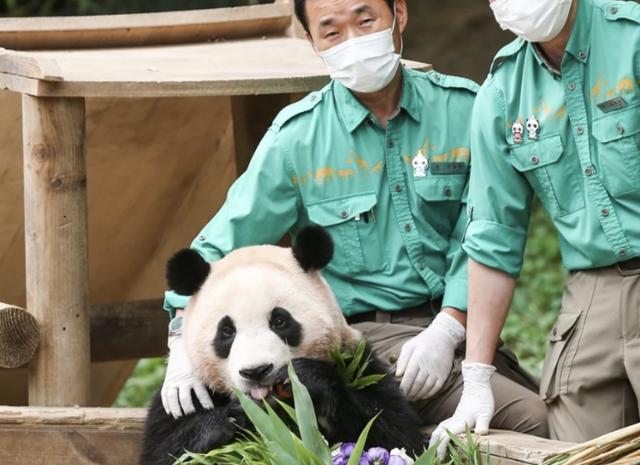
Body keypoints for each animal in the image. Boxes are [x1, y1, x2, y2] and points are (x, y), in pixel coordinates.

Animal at [142, 226, 428, 464]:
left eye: (279, 321)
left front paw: (307, 377)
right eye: (226, 332)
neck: (273, 405)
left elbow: (392, 433)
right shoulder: (189, 396)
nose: (256, 371)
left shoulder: (357, 362)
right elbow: (165, 451)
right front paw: (229, 417)